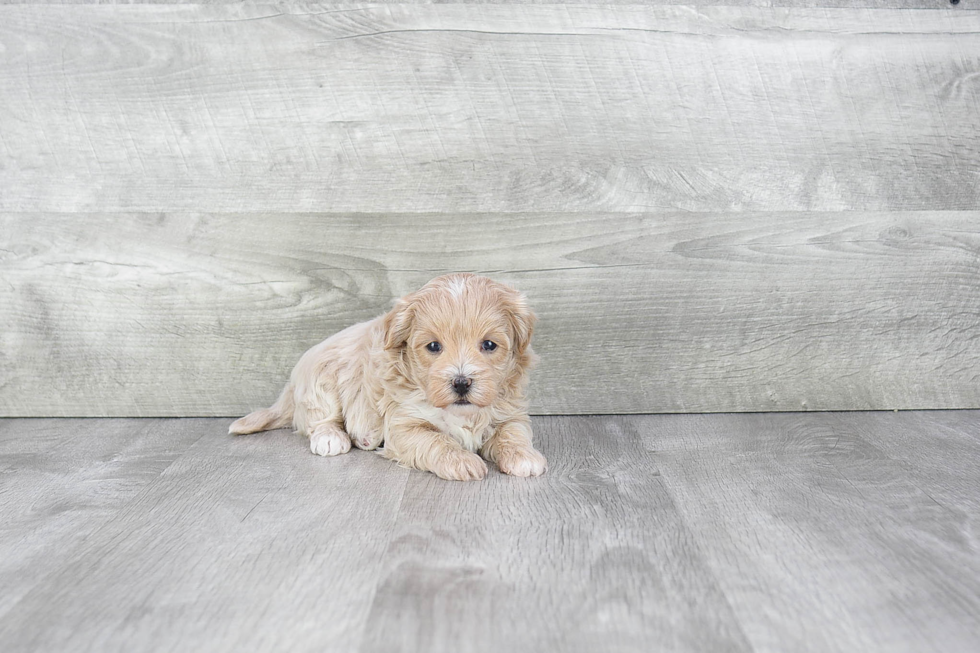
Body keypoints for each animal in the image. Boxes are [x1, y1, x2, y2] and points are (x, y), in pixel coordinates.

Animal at [232, 272, 552, 482]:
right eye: (433, 346)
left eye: (488, 345)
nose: (461, 383)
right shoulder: (404, 425)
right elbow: (436, 440)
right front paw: (461, 461)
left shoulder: (511, 412)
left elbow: (513, 433)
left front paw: (524, 456)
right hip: (321, 381)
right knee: (320, 419)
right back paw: (333, 438)